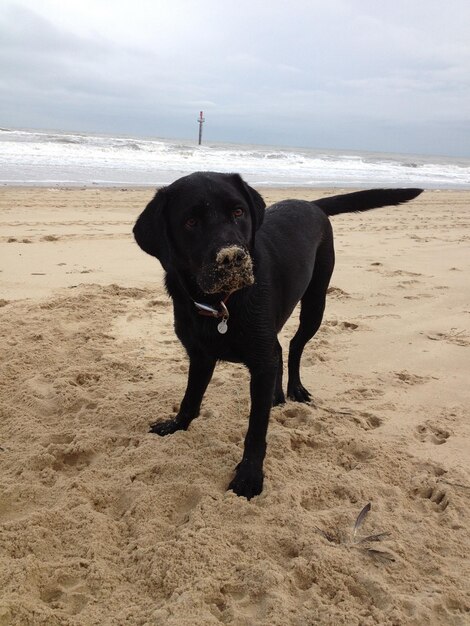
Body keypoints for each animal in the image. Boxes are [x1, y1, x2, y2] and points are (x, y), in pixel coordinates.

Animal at [132, 171, 422, 498]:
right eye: (190, 222)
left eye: (238, 212)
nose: (232, 257)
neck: (223, 303)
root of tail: (311, 204)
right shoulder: (200, 355)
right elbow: (190, 398)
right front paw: (175, 425)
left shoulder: (259, 364)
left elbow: (256, 429)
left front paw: (249, 477)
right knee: (281, 349)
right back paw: (277, 394)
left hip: (315, 303)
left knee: (295, 346)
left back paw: (295, 389)